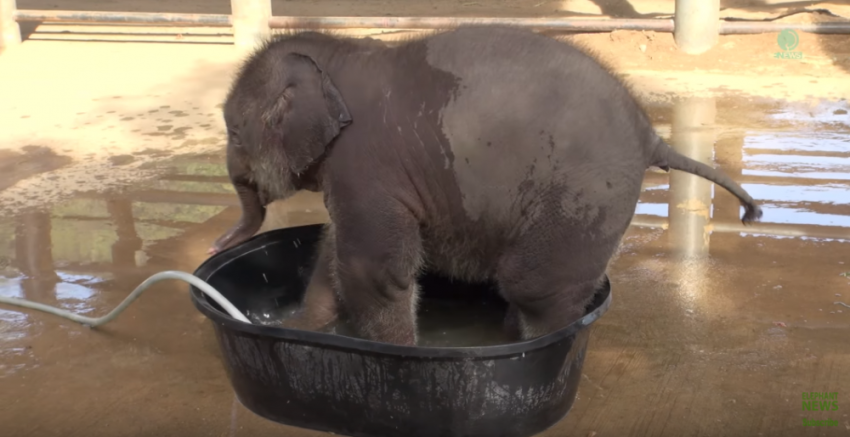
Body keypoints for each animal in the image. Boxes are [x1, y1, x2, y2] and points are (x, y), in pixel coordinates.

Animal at [209, 26, 763, 346]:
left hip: (584, 198)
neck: (339, 59)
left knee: (533, 287)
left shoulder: (365, 165)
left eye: (233, 131)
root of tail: (652, 136)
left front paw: (398, 355)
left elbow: (375, 270)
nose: (214, 246)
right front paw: (298, 332)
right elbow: (334, 251)